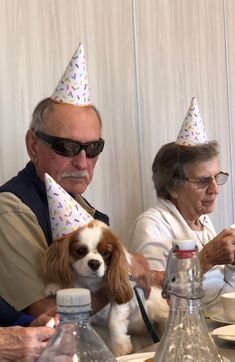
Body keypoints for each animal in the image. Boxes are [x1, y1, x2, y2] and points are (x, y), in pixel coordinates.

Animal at [43, 218, 169, 356]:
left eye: (105, 253)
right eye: (81, 251)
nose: (94, 263)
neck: (91, 282)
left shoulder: (119, 296)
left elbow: (113, 320)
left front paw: (120, 346)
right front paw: (55, 286)